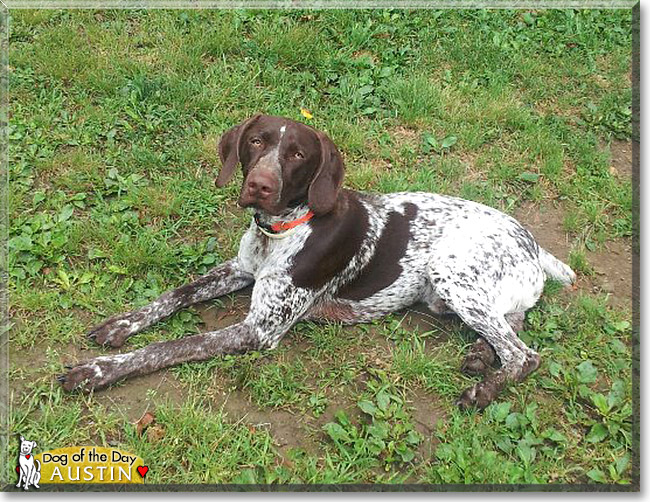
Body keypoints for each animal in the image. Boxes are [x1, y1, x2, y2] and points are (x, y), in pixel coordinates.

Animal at [57, 113, 572, 408]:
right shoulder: (239, 270)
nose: (260, 185)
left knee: (525, 354)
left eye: (298, 154)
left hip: (452, 275)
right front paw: (121, 324)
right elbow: (174, 295)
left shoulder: (259, 329)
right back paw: (481, 356)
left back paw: (485, 388)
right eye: (256, 143)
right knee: (512, 326)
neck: (283, 228)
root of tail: (533, 243)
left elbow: (169, 346)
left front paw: (97, 371)